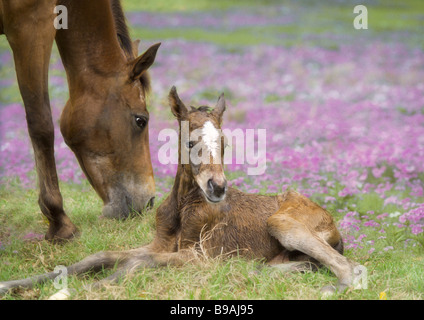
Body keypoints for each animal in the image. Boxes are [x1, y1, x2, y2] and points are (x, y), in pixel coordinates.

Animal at [0, 86, 362, 296]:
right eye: (189, 142)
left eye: (225, 144)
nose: (218, 187)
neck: (181, 208)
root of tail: (332, 222)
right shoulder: (161, 244)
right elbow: (99, 256)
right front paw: (14, 284)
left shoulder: (199, 254)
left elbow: (137, 263)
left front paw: (66, 292)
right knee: (303, 264)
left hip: (282, 223)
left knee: (348, 267)